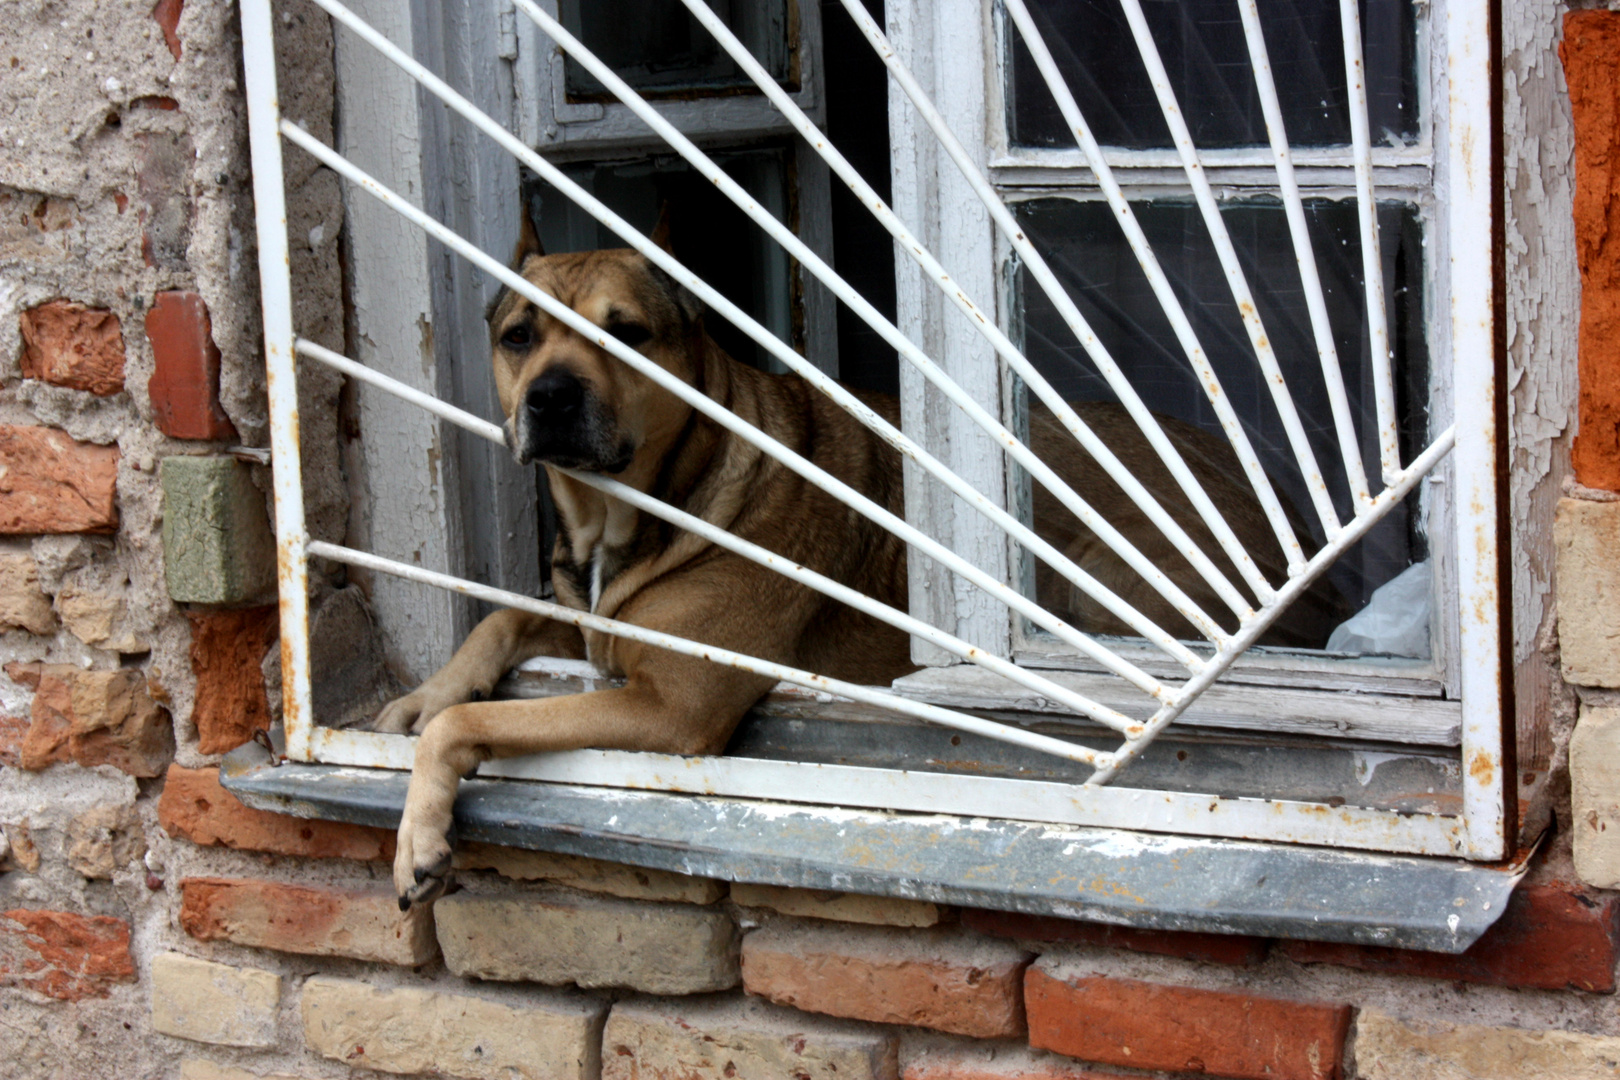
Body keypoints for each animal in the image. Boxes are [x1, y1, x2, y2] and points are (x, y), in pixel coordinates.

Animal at [372, 220, 1347, 913]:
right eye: (518, 337)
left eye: (628, 334)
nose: (549, 398)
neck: (631, 509)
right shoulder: (592, 620)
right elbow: (497, 619)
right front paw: (424, 694)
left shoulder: (671, 705)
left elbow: (465, 727)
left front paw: (419, 831)